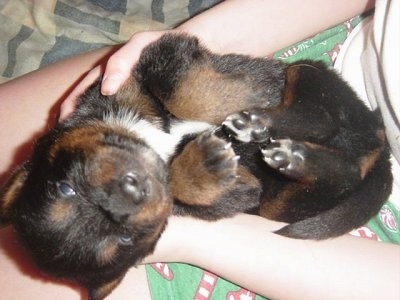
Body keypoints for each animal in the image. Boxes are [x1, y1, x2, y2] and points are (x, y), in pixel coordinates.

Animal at [0, 34, 394, 298]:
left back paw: (257, 123)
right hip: (279, 203)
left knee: (321, 113)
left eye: (65, 188)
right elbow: (185, 186)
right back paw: (289, 153)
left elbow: (186, 93)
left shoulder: (155, 57)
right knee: (341, 164)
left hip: (308, 72)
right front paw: (202, 165)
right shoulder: (239, 195)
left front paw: (233, 114)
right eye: (125, 237)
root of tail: (378, 144)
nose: (133, 191)